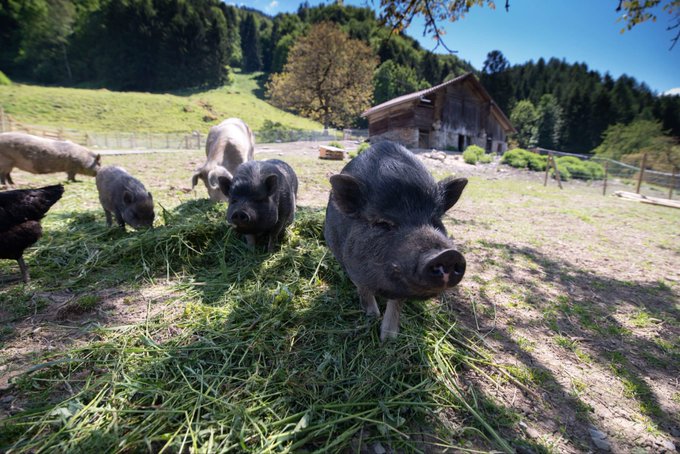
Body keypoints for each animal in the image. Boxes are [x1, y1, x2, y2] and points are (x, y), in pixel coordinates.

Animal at [324, 141, 468, 341]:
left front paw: (389, 338)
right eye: (383, 223)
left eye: (436, 221)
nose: (448, 255)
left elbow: (396, 303)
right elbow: (364, 291)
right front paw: (372, 318)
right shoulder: (352, 267)